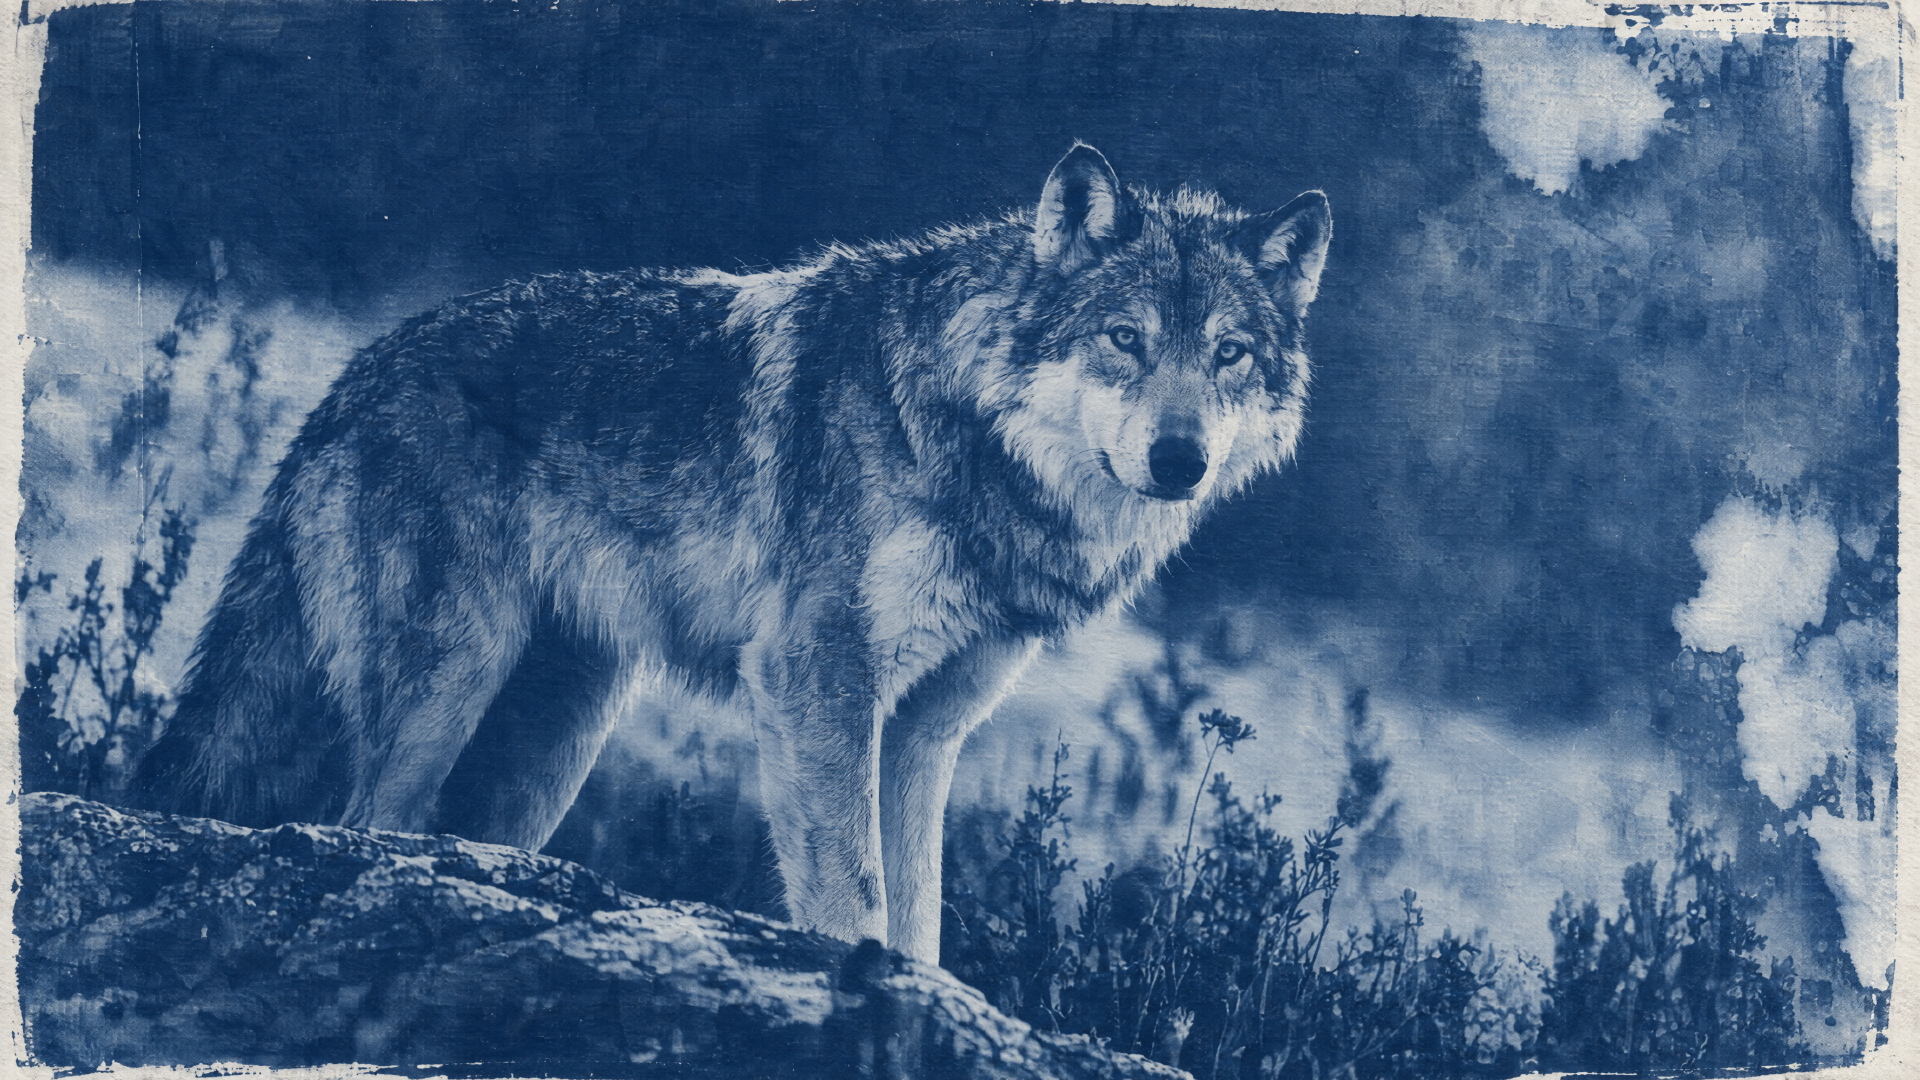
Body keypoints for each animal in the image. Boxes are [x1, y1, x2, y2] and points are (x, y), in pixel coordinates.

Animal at [137, 144, 1330, 963]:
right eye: (1124, 339)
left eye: (1229, 355)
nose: (1180, 460)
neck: (969, 439)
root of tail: (353, 376)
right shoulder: (815, 678)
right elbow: (854, 898)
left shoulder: (925, 730)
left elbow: (921, 923)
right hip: (450, 685)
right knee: (359, 826)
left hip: (549, 754)